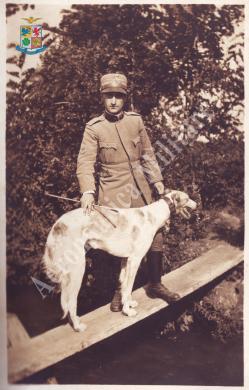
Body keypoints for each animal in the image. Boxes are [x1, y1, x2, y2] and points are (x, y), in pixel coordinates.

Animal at [43, 190, 197, 330]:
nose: (197, 204)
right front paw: (128, 311)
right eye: (187, 198)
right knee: (71, 301)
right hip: (77, 270)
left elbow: (123, 286)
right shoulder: (135, 259)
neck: (152, 215)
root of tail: (57, 225)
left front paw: (128, 305)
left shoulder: (126, 260)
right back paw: (78, 326)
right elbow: (128, 287)